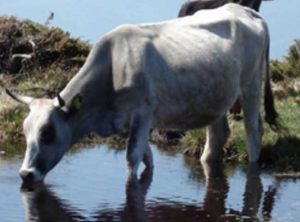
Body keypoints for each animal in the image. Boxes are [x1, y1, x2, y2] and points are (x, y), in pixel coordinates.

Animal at [6, 3, 278, 183]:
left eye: (48, 132)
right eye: (25, 130)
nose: (25, 174)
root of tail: (243, 9)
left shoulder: (142, 113)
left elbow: (132, 157)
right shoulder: (130, 122)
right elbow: (147, 157)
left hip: (251, 85)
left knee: (253, 130)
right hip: (215, 96)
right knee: (218, 135)